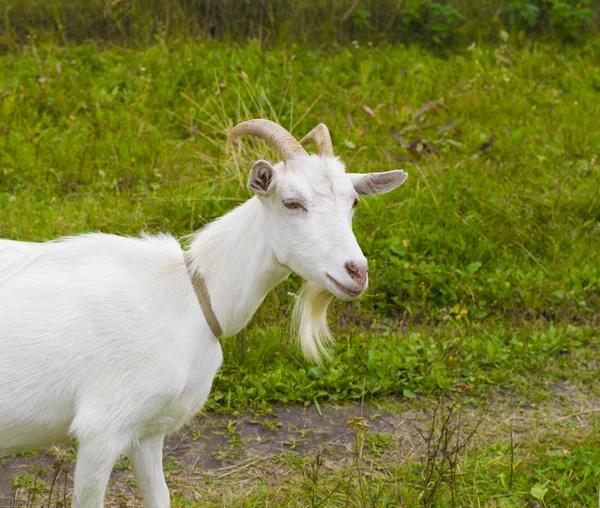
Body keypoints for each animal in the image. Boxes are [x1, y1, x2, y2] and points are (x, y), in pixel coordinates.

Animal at [0, 119, 406, 504]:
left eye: (353, 202)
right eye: (291, 202)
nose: (356, 271)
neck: (192, 296)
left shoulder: (148, 432)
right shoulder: (101, 430)